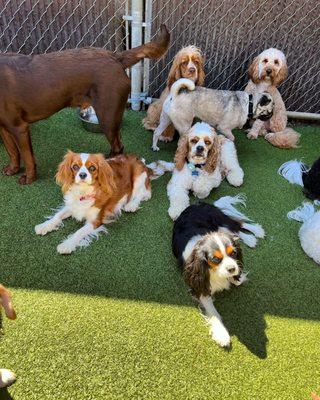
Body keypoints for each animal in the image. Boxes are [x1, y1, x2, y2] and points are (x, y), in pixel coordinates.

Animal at [0, 25, 170, 185]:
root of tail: (115, 56)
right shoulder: (4, 128)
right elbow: (12, 152)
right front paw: (13, 169)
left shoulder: (19, 127)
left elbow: (27, 157)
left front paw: (29, 178)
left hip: (107, 118)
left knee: (118, 147)